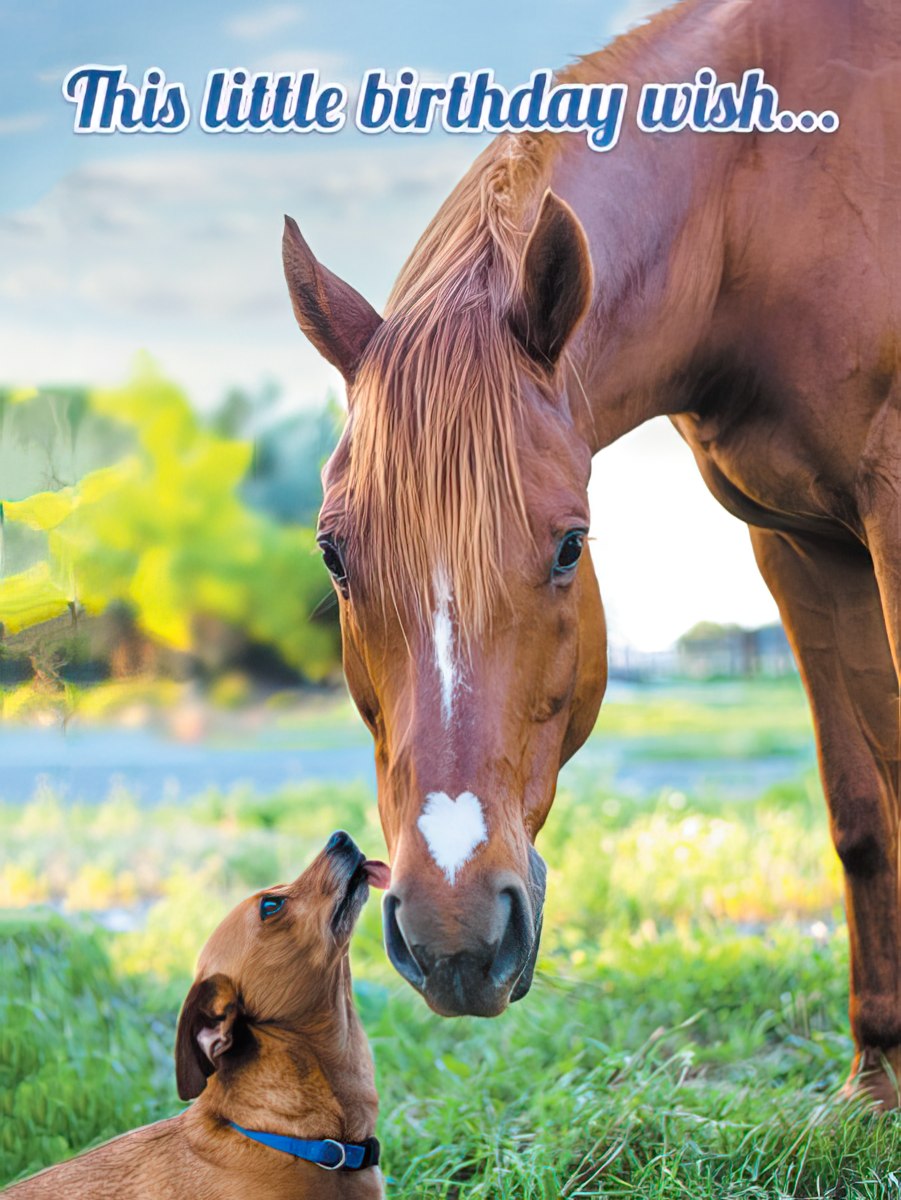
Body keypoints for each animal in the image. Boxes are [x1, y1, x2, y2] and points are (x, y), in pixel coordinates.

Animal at [282, 0, 901, 1104]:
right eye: (332, 557)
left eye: (570, 546)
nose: (453, 935)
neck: (762, 196)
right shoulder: (800, 544)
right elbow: (862, 808)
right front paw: (873, 1085)